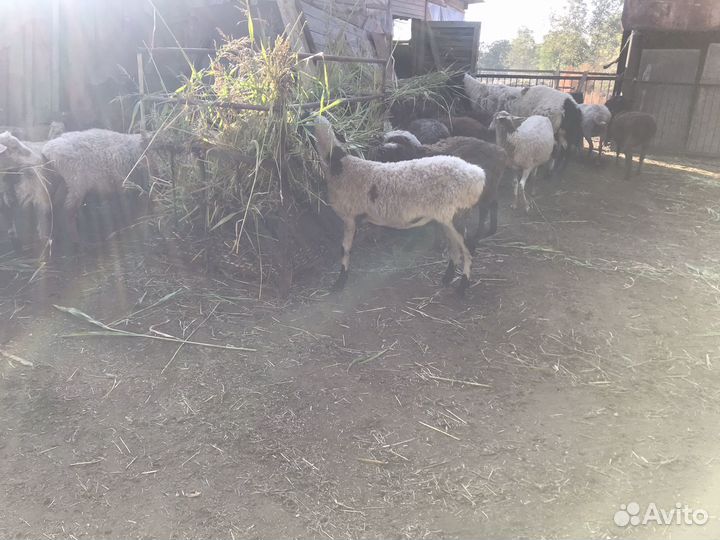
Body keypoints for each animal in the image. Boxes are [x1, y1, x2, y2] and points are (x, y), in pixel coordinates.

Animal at [313, 116, 486, 295]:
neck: (339, 164)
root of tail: (477, 174)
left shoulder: (350, 217)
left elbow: (345, 250)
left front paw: (339, 283)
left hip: (456, 215)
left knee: (468, 248)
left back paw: (462, 287)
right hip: (447, 217)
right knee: (455, 249)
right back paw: (447, 278)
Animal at [371, 131, 508, 240]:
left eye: (389, 152)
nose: (378, 151)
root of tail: (500, 153)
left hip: (485, 188)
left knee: (484, 210)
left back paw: (476, 237)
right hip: (492, 187)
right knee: (494, 205)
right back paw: (492, 230)